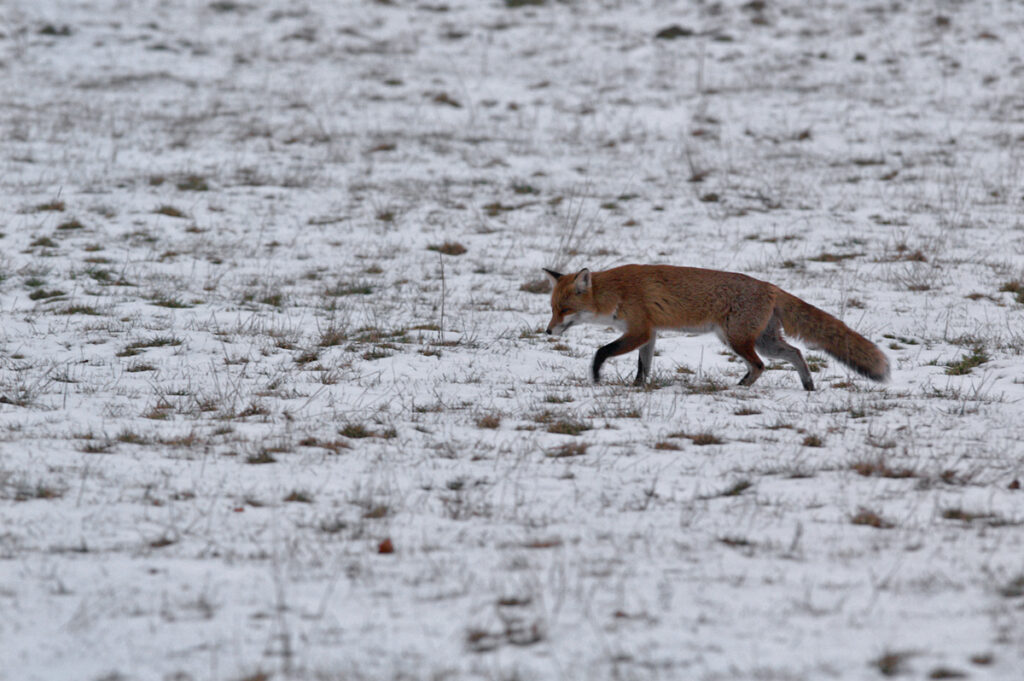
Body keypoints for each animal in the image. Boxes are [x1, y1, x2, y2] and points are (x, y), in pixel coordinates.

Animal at [543, 264, 889, 391]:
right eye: (552, 309)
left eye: (564, 310)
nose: (547, 332)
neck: (617, 292)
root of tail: (771, 287)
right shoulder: (649, 333)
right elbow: (644, 366)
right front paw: (639, 387)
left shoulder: (638, 330)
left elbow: (602, 351)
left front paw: (596, 376)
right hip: (762, 341)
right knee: (796, 353)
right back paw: (808, 386)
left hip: (738, 340)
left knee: (760, 366)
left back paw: (740, 388)